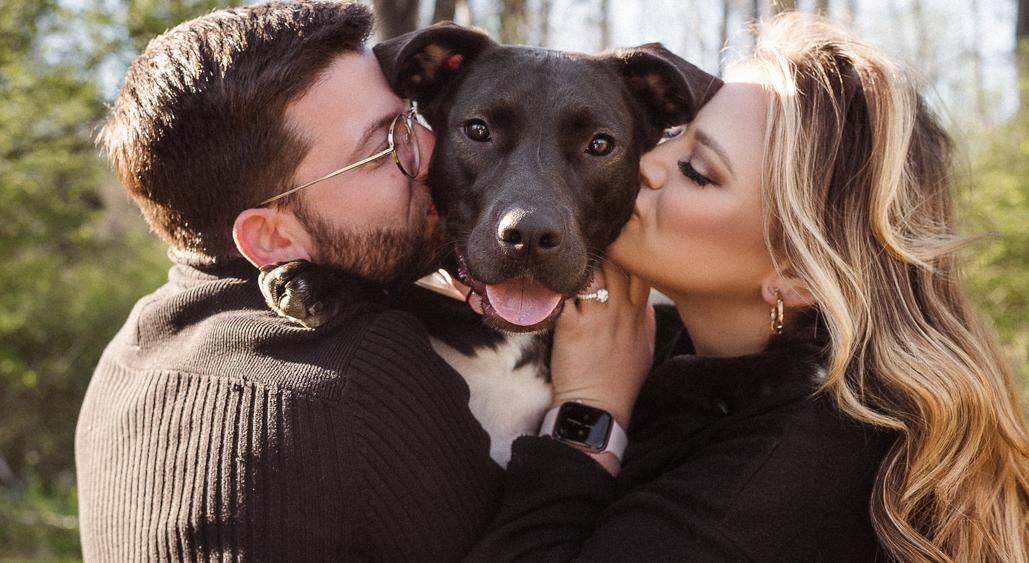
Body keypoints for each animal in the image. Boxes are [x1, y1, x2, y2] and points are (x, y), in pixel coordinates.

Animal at [260, 23, 721, 465]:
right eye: (478, 130)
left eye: (600, 144)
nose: (529, 235)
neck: (511, 338)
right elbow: (397, 291)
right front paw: (320, 280)